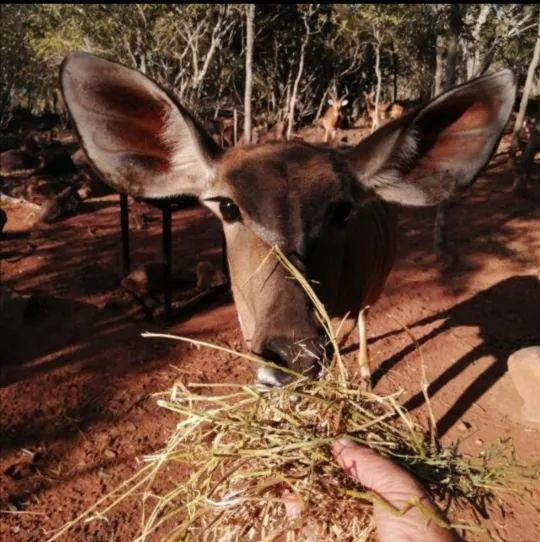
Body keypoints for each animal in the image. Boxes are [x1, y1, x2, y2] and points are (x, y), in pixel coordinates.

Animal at [59, 51, 516, 392]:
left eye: (342, 210)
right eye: (228, 206)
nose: (292, 354)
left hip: (374, 288)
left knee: (364, 322)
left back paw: (365, 372)